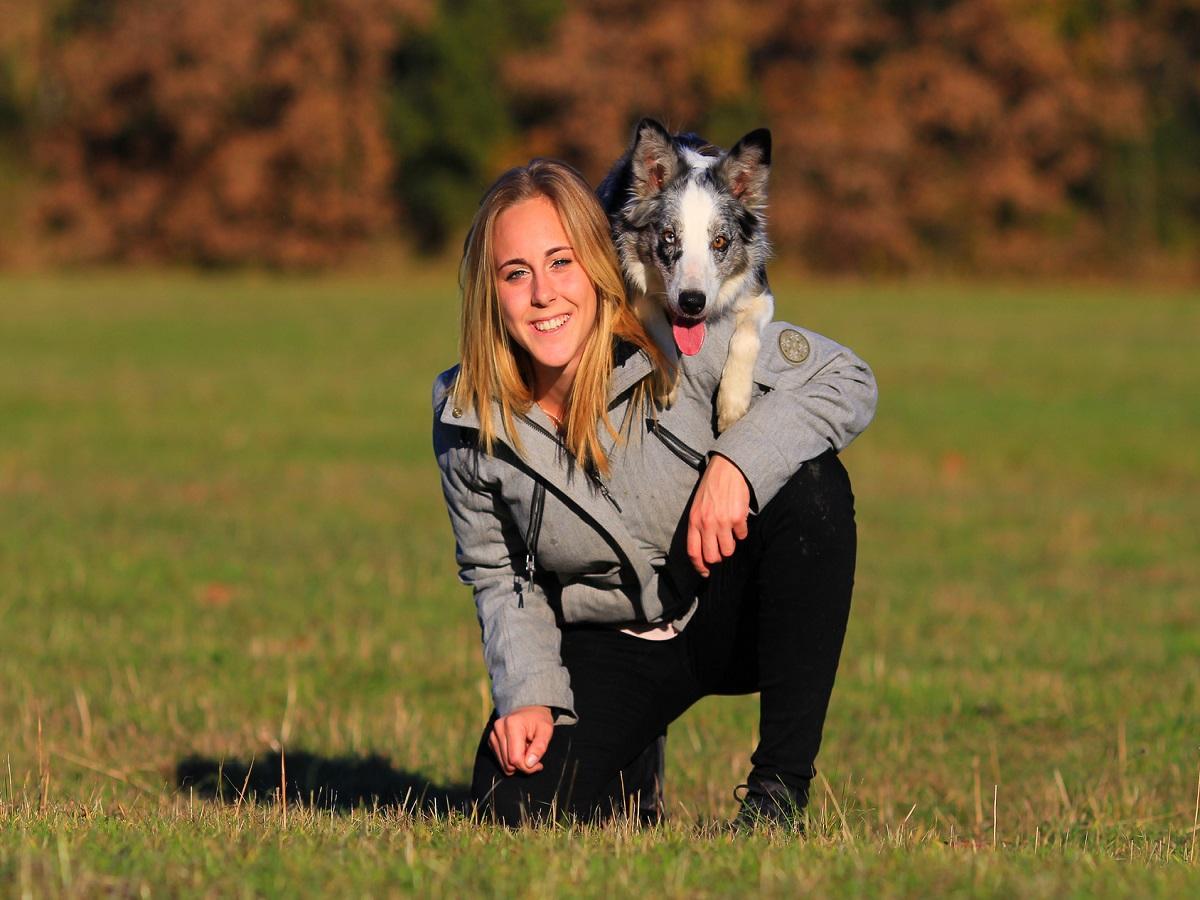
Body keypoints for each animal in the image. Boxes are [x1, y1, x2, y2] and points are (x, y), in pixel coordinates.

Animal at [600, 118, 777, 434]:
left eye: (719, 241)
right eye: (669, 236)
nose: (692, 303)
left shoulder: (761, 294)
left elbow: (746, 336)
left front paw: (732, 403)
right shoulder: (630, 286)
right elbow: (656, 325)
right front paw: (667, 381)